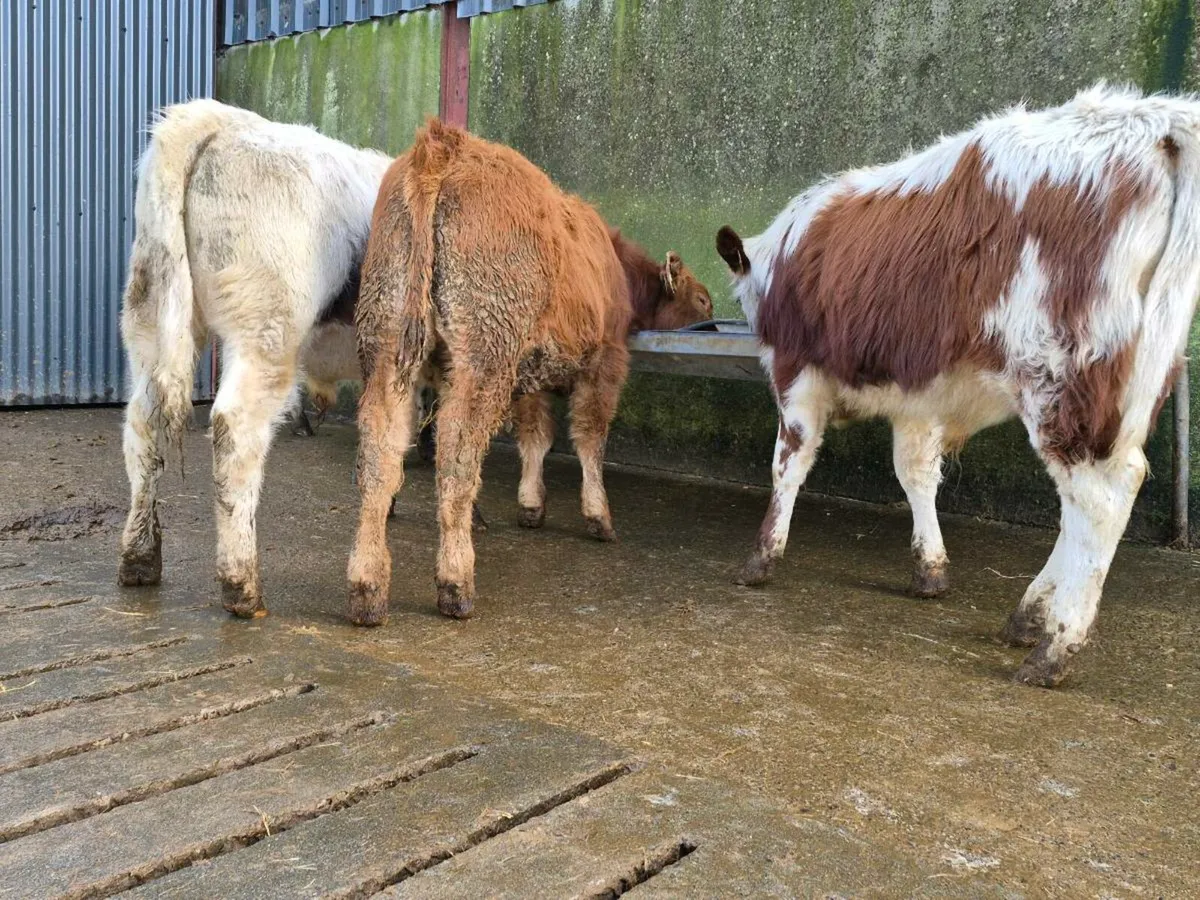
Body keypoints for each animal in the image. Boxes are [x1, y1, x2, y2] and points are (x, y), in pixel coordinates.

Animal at [117, 99, 402, 618]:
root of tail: (216, 120)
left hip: (148, 317)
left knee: (142, 425)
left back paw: (140, 558)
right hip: (266, 332)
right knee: (235, 431)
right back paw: (242, 587)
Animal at [347, 119, 713, 626]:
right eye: (701, 301)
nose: (714, 320)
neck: (612, 264)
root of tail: (446, 145)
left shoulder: (528, 375)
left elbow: (535, 436)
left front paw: (532, 504)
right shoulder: (605, 363)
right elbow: (589, 437)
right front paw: (598, 515)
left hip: (387, 348)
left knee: (378, 453)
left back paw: (367, 588)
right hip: (484, 356)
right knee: (456, 452)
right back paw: (455, 583)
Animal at [716, 84, 1200, 687]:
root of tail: (1151, 119)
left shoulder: (797, 372)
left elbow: (789, 464)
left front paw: (762, 557)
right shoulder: (919, 398)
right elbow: (916, 474)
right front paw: (930, 569)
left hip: (1062, 379)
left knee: (1101, 499)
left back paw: (1054, 647)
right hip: (1130, 382)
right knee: (1092, 499)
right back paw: (1028, 615)